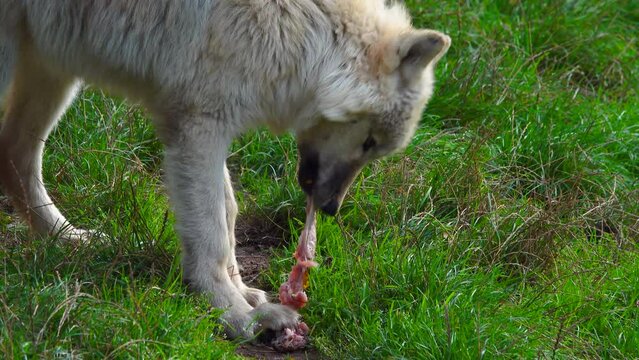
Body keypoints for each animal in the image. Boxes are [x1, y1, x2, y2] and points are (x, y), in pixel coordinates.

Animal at [0, 0, 450, 338]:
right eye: (369, 142)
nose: (331, 209)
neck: (303, 30)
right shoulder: (199, 125)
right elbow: (212, 232)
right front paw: (236, 315)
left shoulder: (210, 124)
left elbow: (228, 212)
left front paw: (246, 295)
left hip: (53, 65)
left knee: (15, 151)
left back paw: (67, 238)